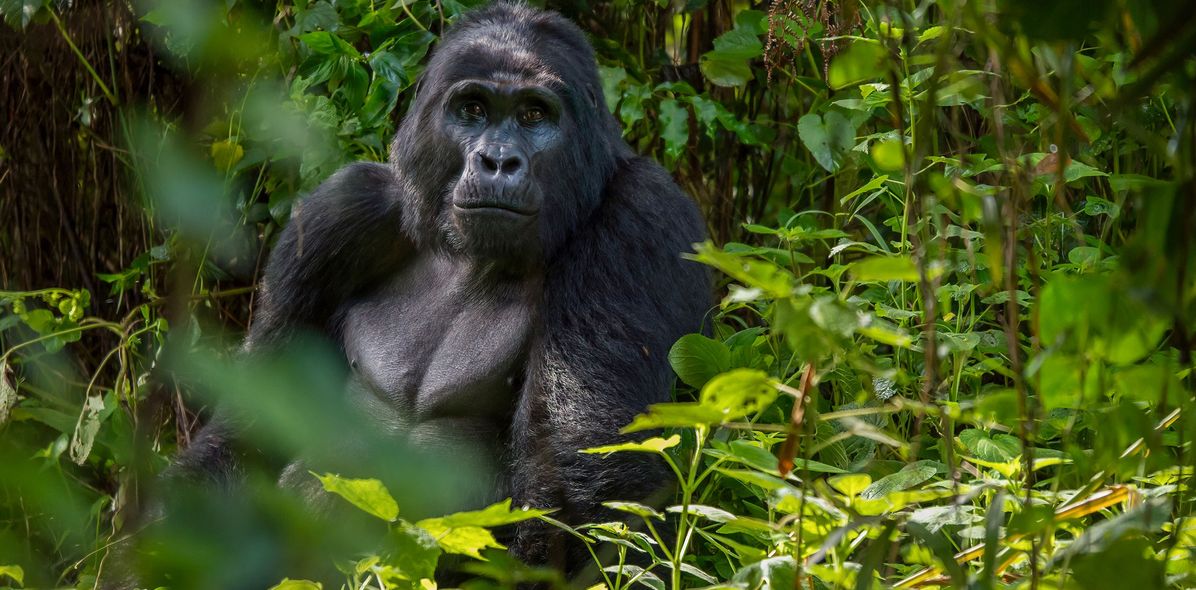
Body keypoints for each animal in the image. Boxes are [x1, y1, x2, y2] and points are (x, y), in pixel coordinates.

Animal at [135, 0, 708, 579]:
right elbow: (252, 428)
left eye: (534, 115)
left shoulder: (639, 217)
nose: (498, 162)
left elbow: (589, 500)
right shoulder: (339, 212)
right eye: (472, 109)